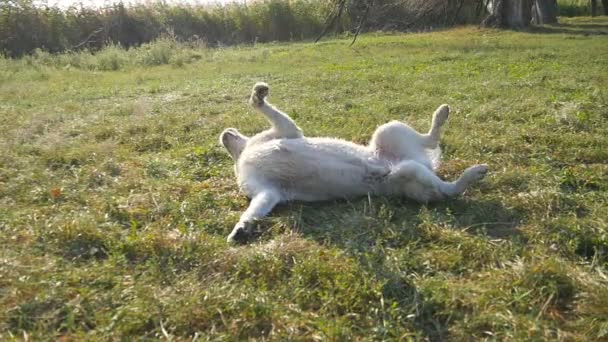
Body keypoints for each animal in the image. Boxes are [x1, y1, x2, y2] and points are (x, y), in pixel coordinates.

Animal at [220, 83, 490, 243]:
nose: (224, 132)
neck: (243, 155)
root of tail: (418, 161)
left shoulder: (287, 130)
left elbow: (262, 107)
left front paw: (258, 94)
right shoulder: (268, 192)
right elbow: (254, 211)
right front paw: (242, 228)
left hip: (389, 130)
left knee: (432, 141)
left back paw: (445, 120)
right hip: (413, 178)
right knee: (447, 190)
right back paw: (472, 173)